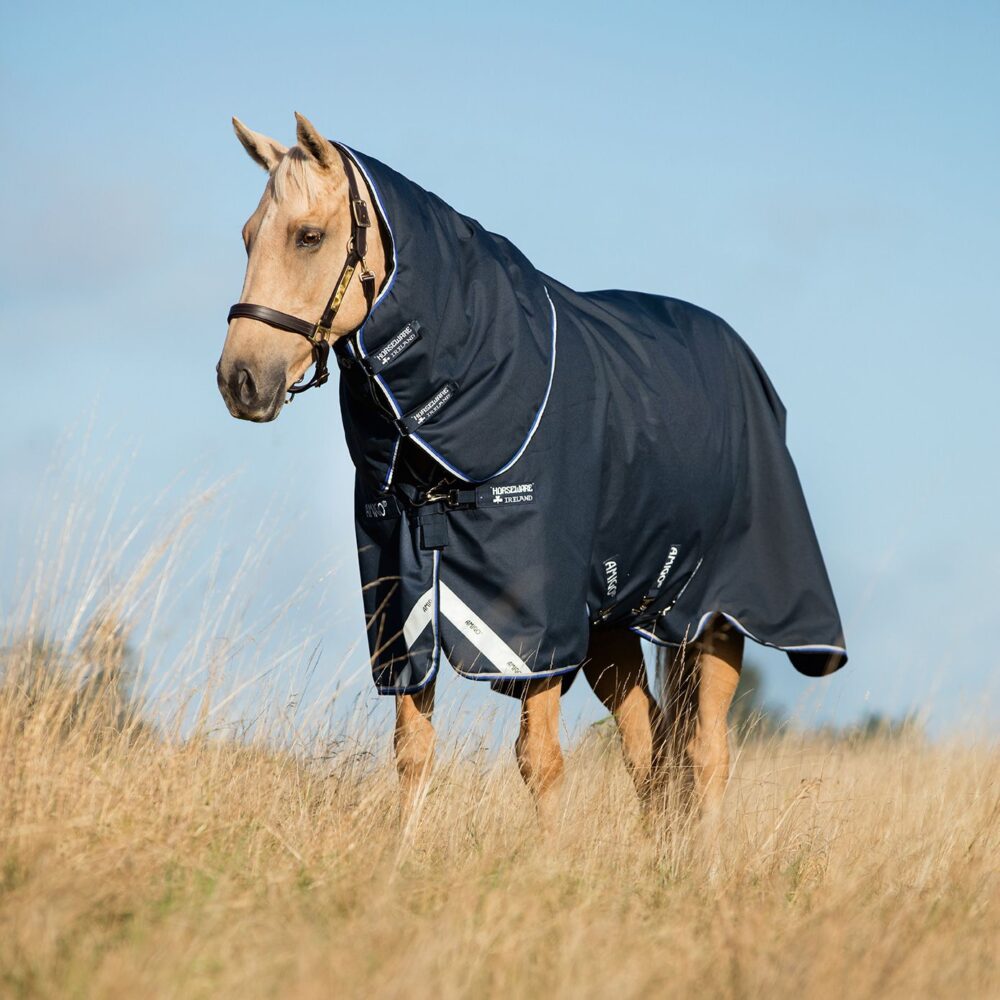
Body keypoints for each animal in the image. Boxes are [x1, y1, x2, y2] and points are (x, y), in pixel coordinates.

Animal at [217, 113, 846, 828]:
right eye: (247, 237)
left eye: (309, 236)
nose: (240, 380)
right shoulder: (406, 607)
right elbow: (412, 753)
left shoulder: (532, 625)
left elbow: (539, 761)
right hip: (609, 628)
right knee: (650, 749)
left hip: (717, 619)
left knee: (706, 756)